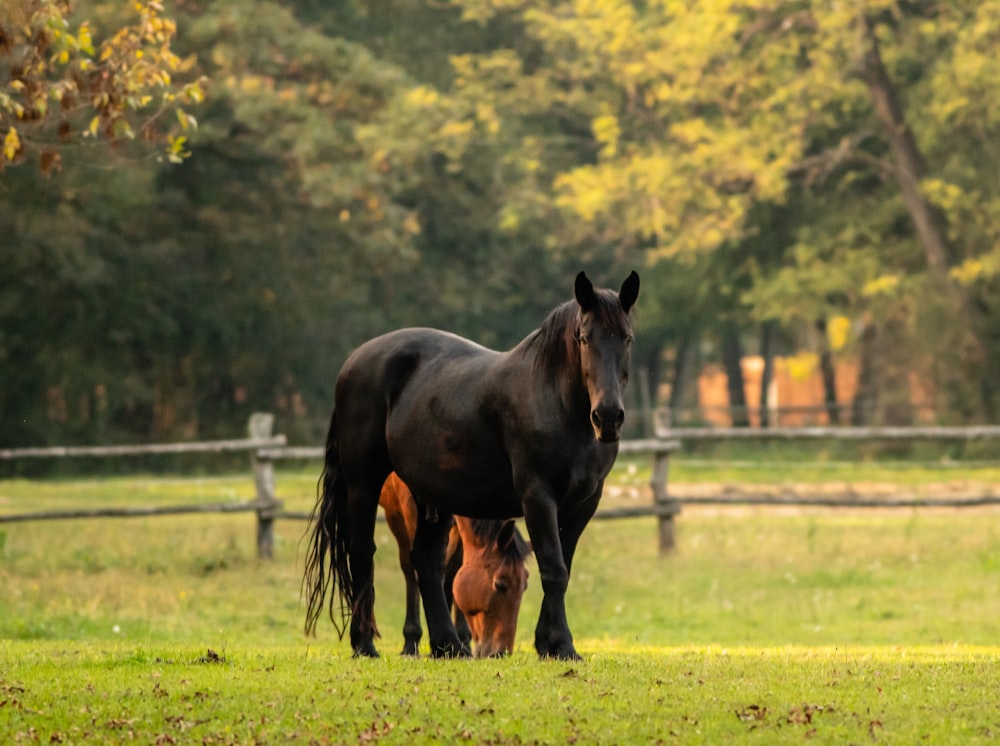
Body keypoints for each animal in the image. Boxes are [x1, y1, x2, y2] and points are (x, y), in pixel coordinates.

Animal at [378, 470, 532, 656]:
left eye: (524, 587)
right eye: (500, 585)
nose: (501, 652)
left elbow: (454, 573)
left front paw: (462, 640)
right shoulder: (409, 510)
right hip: (394, 513)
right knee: (408, 570)